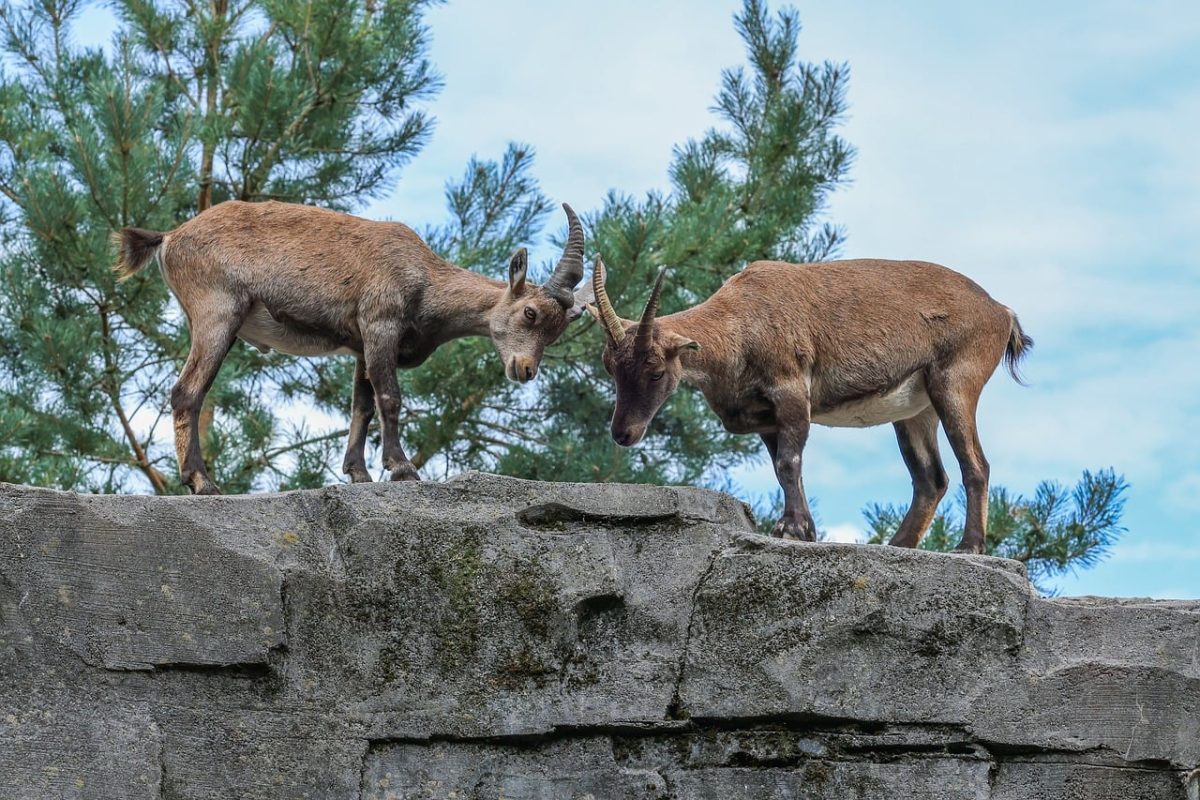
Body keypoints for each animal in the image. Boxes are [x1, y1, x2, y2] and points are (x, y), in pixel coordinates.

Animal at [114, 200, 588, 495]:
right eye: (530, 313)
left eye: (558, 331)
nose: (525, 370)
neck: (425, 280)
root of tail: (170, 237)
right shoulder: (381, 325)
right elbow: (390, 398)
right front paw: (403, 468)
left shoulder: (361, 347)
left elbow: (361, 405)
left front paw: (357, 474)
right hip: (217, 313)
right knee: (186, 392)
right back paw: (202, 482)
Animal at [588, 256, 1032, 553]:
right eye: (610, 367)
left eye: (655, 372)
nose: (623, 433)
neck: (742, 321)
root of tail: (1000, 311)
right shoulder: (766, 420)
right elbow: (784, 468)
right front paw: (805, 530)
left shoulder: (790, 392)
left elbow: (789, 462)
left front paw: (790, 530)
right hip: (914, 412)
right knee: (931, 479)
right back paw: (897, 545)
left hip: (955, 385)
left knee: (975, 465)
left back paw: (968, 547)